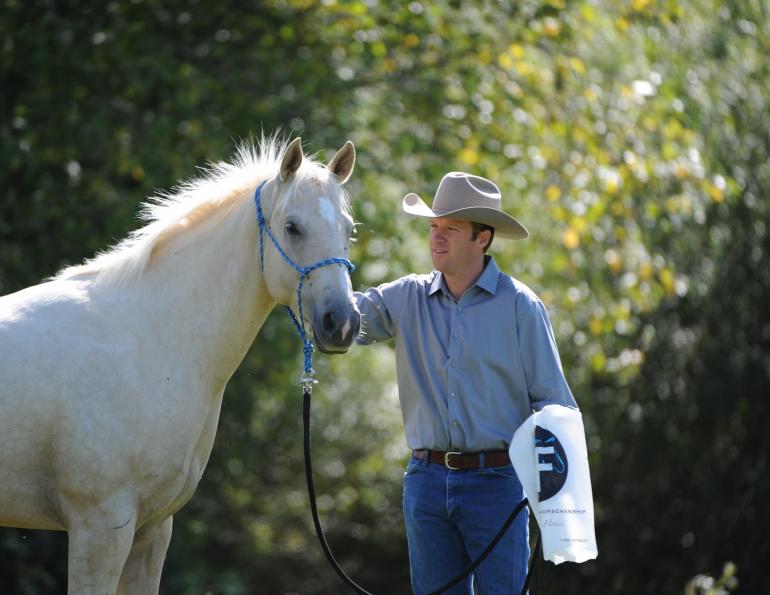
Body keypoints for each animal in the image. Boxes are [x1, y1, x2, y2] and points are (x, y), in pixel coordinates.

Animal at [0, 136, 361, 594]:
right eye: (293, 227)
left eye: (349, 229)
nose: (342, 323)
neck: (150, 337)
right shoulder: (99, 527)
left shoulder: (152, 530)